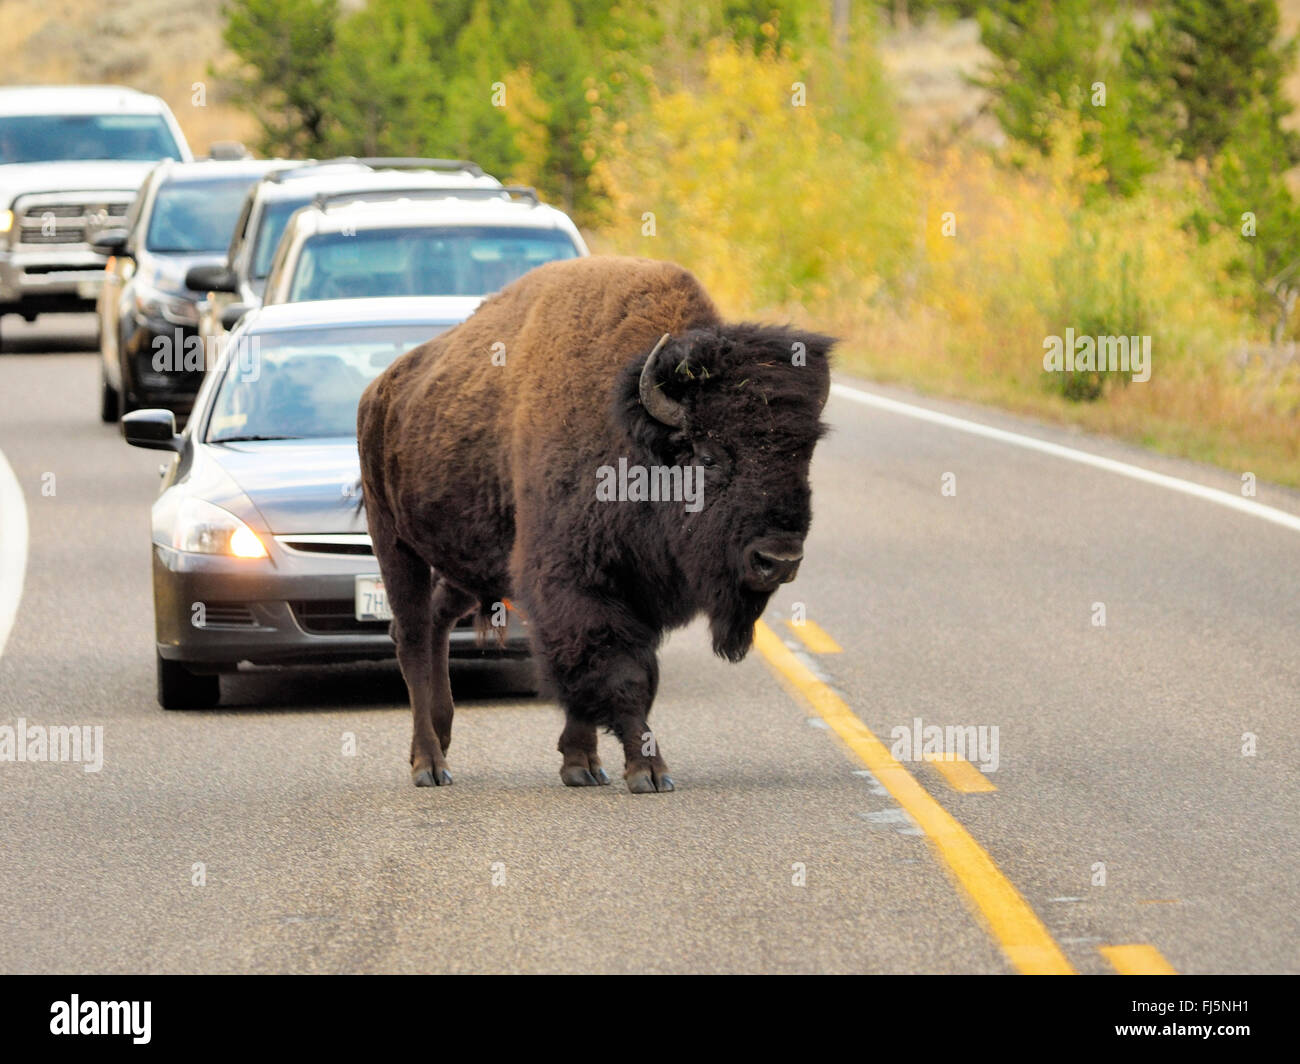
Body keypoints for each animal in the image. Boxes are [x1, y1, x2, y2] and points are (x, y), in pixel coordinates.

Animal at [358, 254, 832, 785]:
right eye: (708, 457)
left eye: (803, 457)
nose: (779, 559)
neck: (633, 439)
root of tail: (378, 391)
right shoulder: (575, 583)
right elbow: (615, 670)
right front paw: (649, 771)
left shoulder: (632, 591)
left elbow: (611, 675)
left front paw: (582, 764)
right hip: (394, 541)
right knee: (412, 635)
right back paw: (429, 764)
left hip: (466, 563)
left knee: (438, 620)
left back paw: (441, 737)